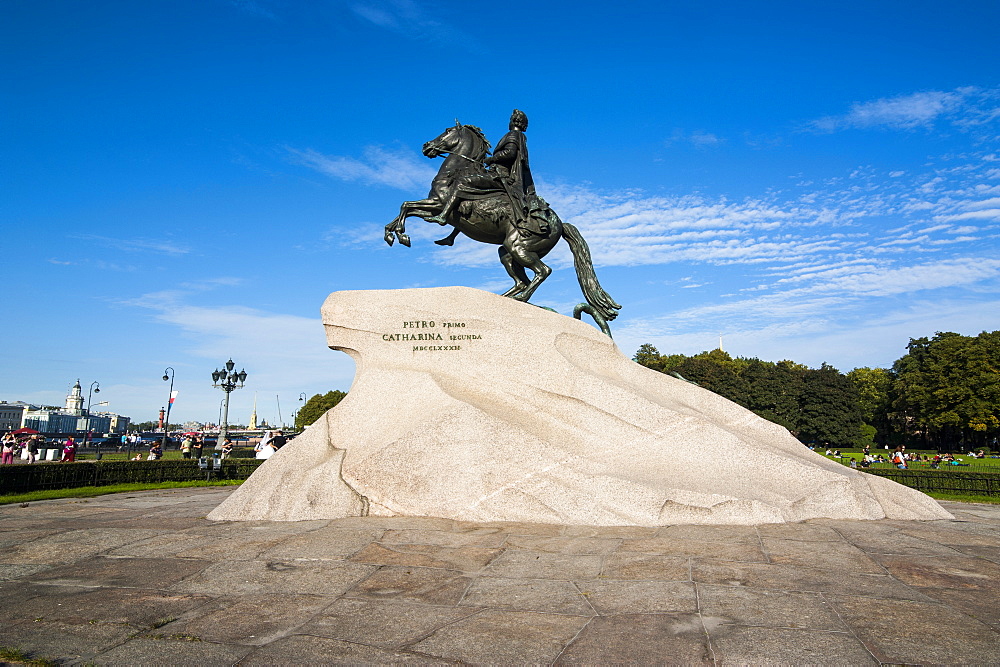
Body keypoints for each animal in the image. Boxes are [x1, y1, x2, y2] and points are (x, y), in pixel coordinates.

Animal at [380, 123, 616, 326]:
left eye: (447, 131)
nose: (426, 146)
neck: (457, 172)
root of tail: (559, 223)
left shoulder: (438, 204)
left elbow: (408, 206)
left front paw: (400, 234)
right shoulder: (433, 205)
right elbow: (406, 208)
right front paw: (393, 233)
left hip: (518, 247)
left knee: (543, 271)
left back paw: (521, 298)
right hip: (508, 252)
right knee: (522, 280)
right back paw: (505, 298)